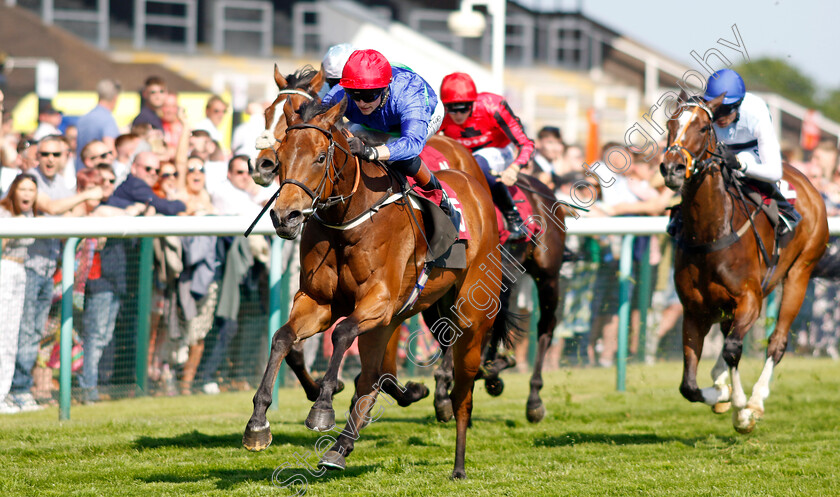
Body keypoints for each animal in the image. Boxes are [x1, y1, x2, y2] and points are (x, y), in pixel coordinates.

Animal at [240, 95, 508, 478]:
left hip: (470, 318)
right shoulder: (319, 302)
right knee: (369, 379)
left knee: (463, 393)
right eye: (282, 157)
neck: (348, 221)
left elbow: (341, 334)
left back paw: (458, 462)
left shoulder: (378, 300)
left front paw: (322, 408)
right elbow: (282, 338)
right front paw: (258, 424)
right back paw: (339, 449)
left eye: (320, 157)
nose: (285, 216)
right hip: (397, 318)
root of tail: (473, 184)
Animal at [660, 91, 832, 432]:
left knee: (775, 342)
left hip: (800, 272)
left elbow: (732, 349)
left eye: (703, 128)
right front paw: (721, 393)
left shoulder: (750, 298)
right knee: (730, 336)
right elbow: (689, 386)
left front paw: (741, 408)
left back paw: (756, 399)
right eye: (670, 125)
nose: (672, 168)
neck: (711, 232)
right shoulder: (694, 310)